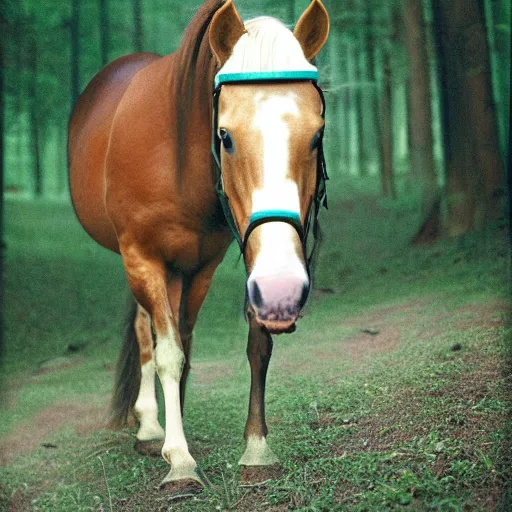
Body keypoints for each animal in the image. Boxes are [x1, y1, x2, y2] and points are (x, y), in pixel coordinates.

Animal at [68, 0, 330, 490]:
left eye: (317, 135)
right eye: (225, 136)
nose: (284, 288)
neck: (180, 167)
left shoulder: (209, 263)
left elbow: (240, 344)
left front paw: (255, 448)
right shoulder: (143, 258)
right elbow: (168, 352)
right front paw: (180, 460)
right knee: (146, 333)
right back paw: (151, 427)